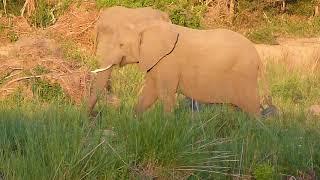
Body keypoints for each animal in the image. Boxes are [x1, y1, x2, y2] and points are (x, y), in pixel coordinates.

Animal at [89, 19, 272, 115]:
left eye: (121, 45)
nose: (88, 117)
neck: (145, 26)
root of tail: (258, 57)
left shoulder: (168, 63)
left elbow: (164, 94)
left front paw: (167, 125)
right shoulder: (157, 63)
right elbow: (149, 94)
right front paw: (134, 120)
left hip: (244, 76)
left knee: (253, 109)